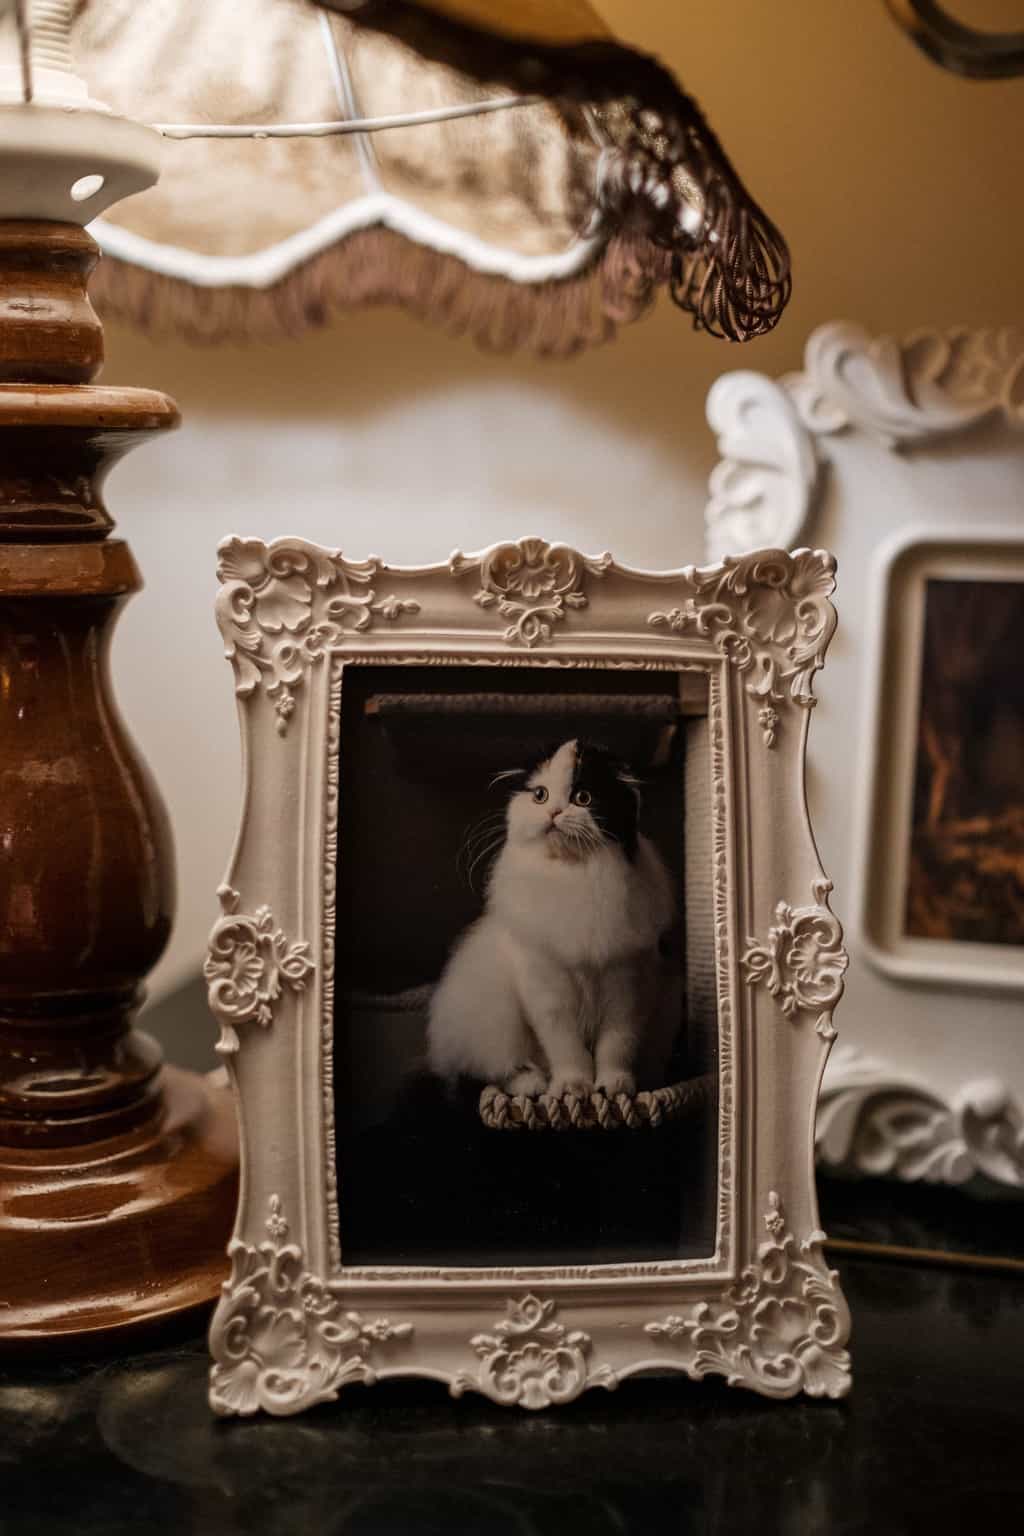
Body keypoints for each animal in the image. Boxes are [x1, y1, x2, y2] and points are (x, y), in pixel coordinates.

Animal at [429, 737, 675, 1099]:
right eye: (540, 795)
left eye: (582, 798)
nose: (554, 812)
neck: (573, 876)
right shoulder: (548, 990)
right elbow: (566, 1047)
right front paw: (573, 1086)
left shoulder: (626, 983)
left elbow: (616, 1044)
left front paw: (613, 1086)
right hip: (495, 1016)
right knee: (498, 1069)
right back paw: (533, 1086)